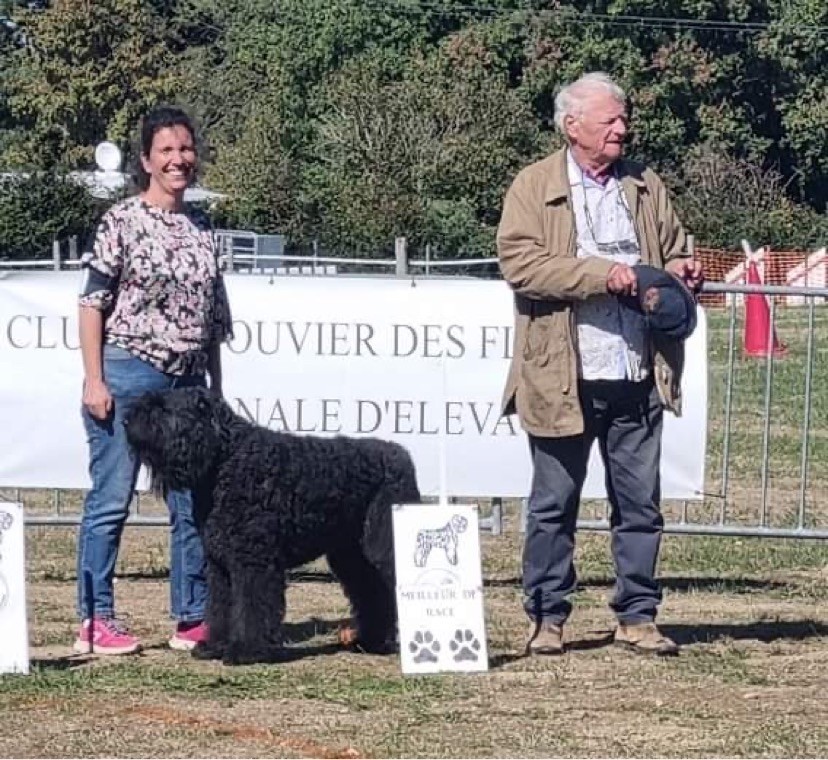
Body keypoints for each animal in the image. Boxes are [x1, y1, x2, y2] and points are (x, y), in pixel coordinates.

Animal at [124, 388, 420, 664]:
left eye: (162, 407)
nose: (126, 420)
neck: (226, 459)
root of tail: (403, 457)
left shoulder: (253, 561)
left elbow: (252, 605)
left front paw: (246, 650)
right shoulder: (220, 565)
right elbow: (220, 607)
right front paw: (214, 646)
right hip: (352, 555)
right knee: (374, 592)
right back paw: (374, 642)